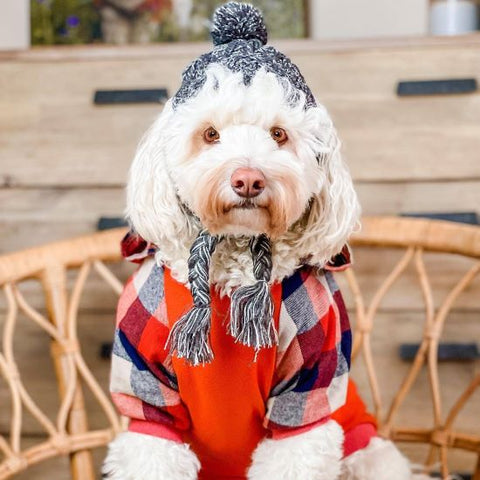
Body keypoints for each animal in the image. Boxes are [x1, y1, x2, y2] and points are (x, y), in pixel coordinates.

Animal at [102, 1, 424, 478]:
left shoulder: (308, 389)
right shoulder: (146, 395)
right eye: (210, 134)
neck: (234, 263)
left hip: (370, 451)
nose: (248, 179)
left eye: (279, 134)